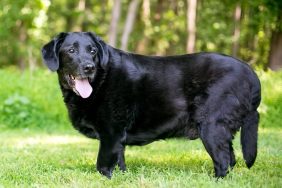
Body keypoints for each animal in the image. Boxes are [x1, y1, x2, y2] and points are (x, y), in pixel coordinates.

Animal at [40, 32, 262, 178]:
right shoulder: (117, 139)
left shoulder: (111, 134)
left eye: (92, 51)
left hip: (212, 127)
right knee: (230, 159)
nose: (89, 67)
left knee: (223, 161)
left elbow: (102, 165)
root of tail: (250, 72)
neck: (100, 81)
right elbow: (119, 162)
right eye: (71, 50)